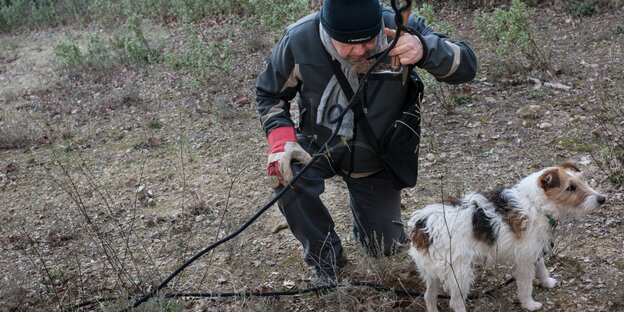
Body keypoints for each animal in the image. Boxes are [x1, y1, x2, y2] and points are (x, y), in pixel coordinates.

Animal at [408, 163, 608, 312]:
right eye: (570, 188)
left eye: (583, 180)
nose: (602, 199)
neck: (535, 203)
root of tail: (423, 225)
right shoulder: (524, 259)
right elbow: (526, 286)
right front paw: (530, 304)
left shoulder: (534, 249)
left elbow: (542, 266)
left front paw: (547, 282)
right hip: (459, 272)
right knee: (455, 302)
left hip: (433, 271)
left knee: (429, 296)